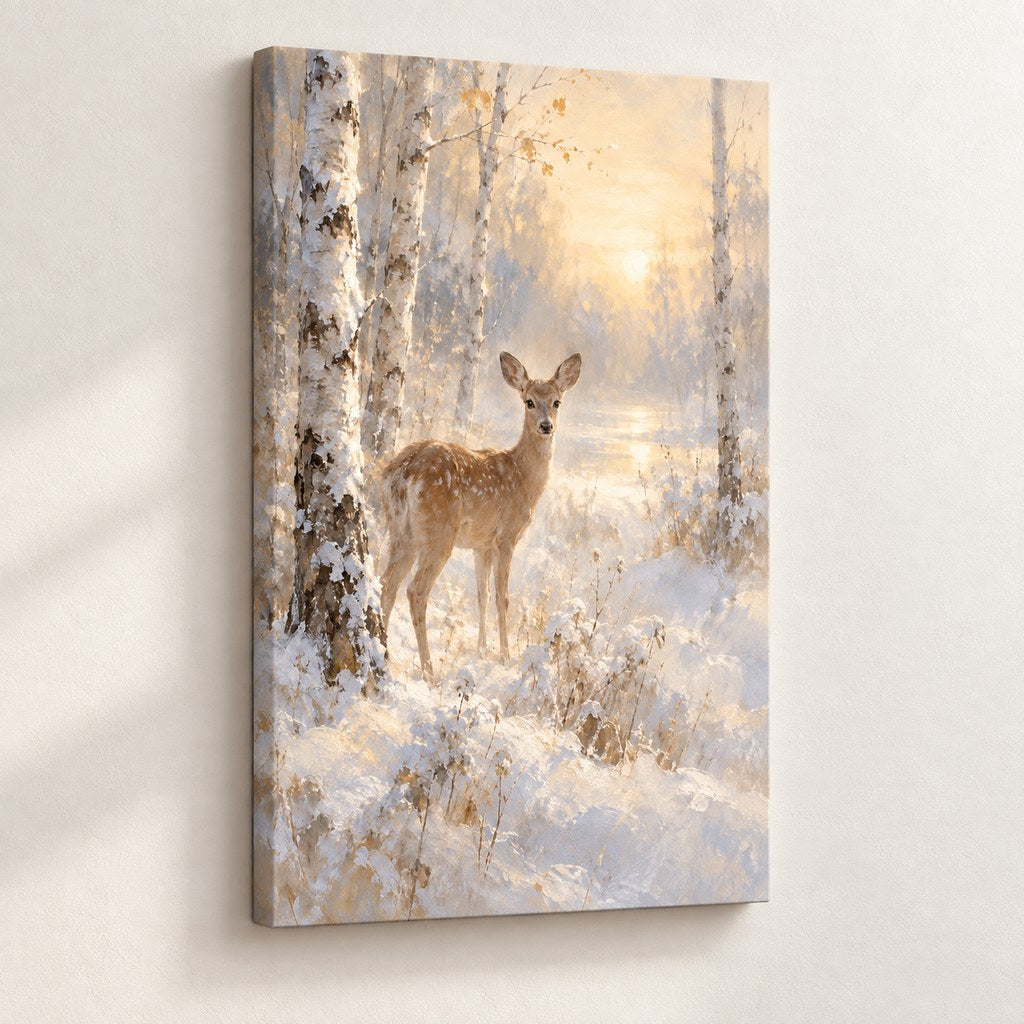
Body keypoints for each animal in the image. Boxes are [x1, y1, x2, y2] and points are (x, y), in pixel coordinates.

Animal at [379, 351, 582, 681]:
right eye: (529, 401)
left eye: (557, 402)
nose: (546, 426)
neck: (523, 477)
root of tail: (403, 470)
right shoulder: (506, 536)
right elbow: (503, 597)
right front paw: (505, 658)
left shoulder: (481, 544)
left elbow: (481, 596)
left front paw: (482, 652)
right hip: (439, 532)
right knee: (415, 590)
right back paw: (429, 671)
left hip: (400, 530)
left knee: (387, 584)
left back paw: (383, 656)